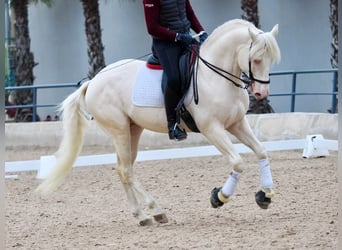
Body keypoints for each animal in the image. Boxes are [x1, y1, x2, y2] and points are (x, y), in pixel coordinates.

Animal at [36, 19, 280, 227]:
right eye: (256, 59)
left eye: (270, 60)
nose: (261, 92)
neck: (216, 76)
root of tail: (94, 81)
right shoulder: (212, 128)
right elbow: (237, 162)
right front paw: (219, 197)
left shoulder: (237, 123)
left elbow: (261, 151)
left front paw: (265, 195)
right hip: (119, 130)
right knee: (127, 170)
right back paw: (156, 210)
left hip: (132, 130)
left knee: (123, 169)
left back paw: (142, 216)